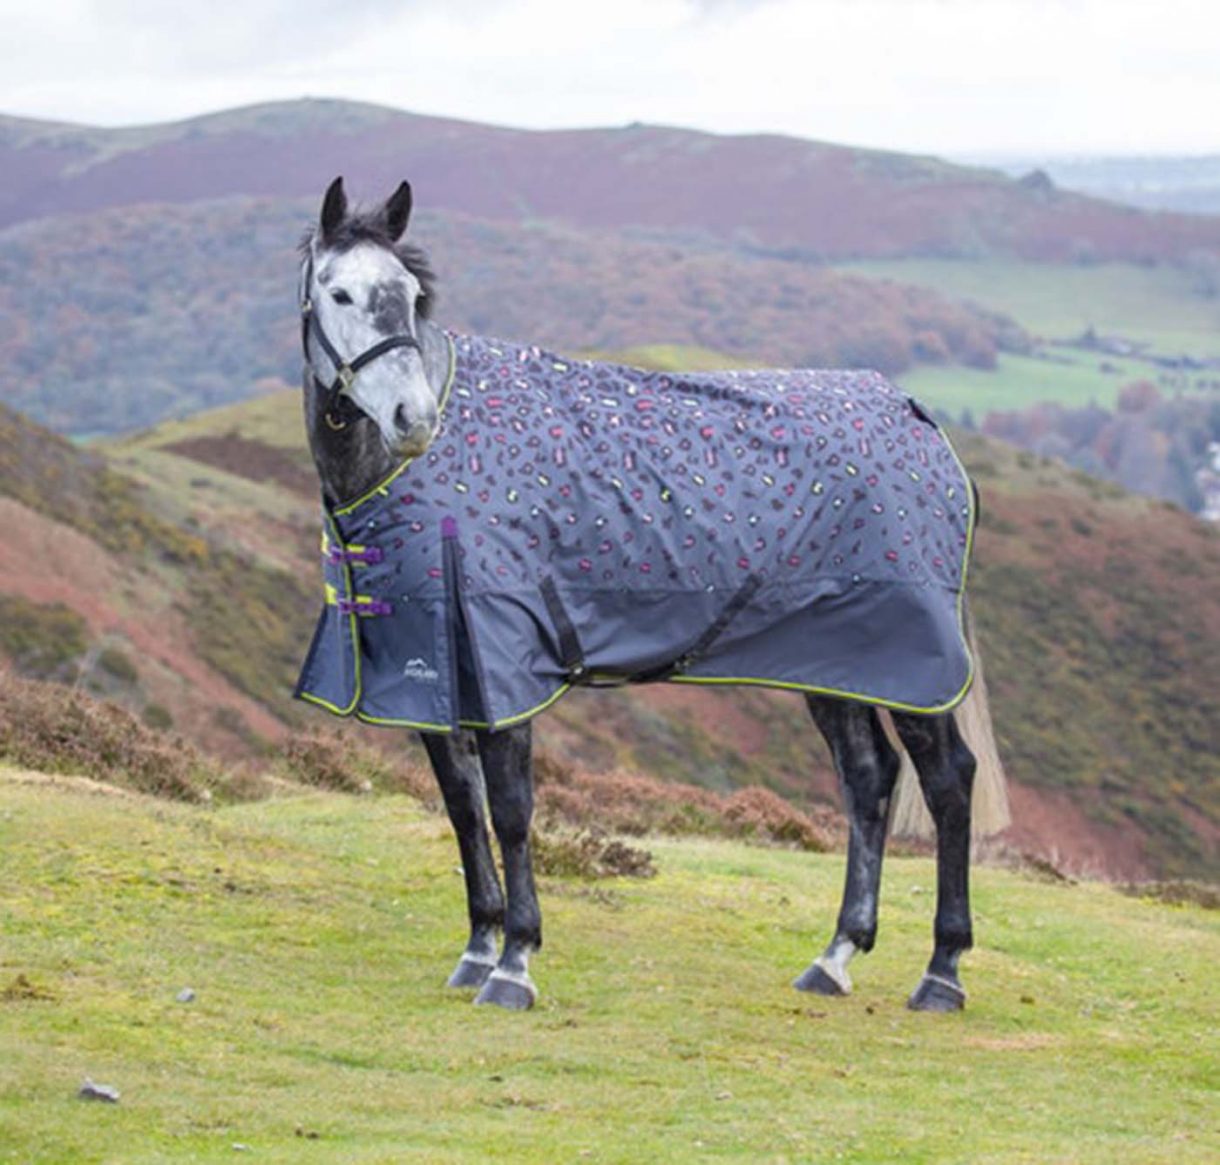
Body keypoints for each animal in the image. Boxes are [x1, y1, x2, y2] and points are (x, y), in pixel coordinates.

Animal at [294, 177, 1009, 1012]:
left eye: (410, 295)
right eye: (339, 292)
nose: (413, 420)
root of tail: (921, 421)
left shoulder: (504, 671)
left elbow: (511, 808)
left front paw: (515, 963)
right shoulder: (430, 675)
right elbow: (463, 806)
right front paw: (477, 949)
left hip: (909, 660)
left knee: (947, 778)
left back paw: (942, 971)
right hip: (836, 660)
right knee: (870, 780)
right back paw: (834, 956)